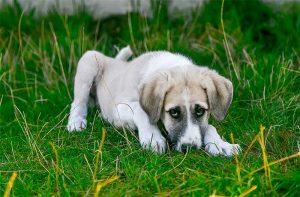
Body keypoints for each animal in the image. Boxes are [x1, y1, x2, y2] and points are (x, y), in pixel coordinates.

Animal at [67, 45, 240, 155]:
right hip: (90, 59)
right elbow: (140, 110)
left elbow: (209, 126)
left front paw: (221, 144)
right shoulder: (119, 107)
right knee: (78, 102)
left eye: (200, 111)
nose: (189, 147)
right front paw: (152, 138)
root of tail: (115, 61)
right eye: (174, 112)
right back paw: (76, 122)